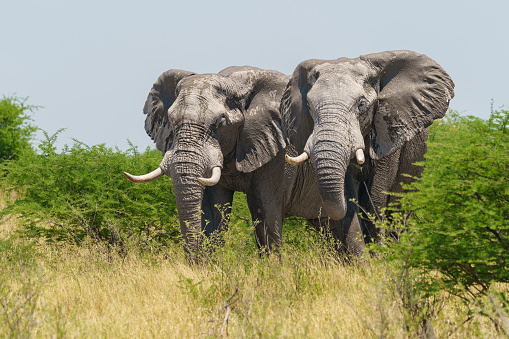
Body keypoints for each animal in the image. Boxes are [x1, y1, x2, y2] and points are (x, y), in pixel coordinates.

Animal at [282, 49, 452, 244]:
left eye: (361, 105)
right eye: (309, 107)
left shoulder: (389, 131)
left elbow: (375, 196)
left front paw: (378, 250)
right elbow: (349, 189)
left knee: (399, 207)